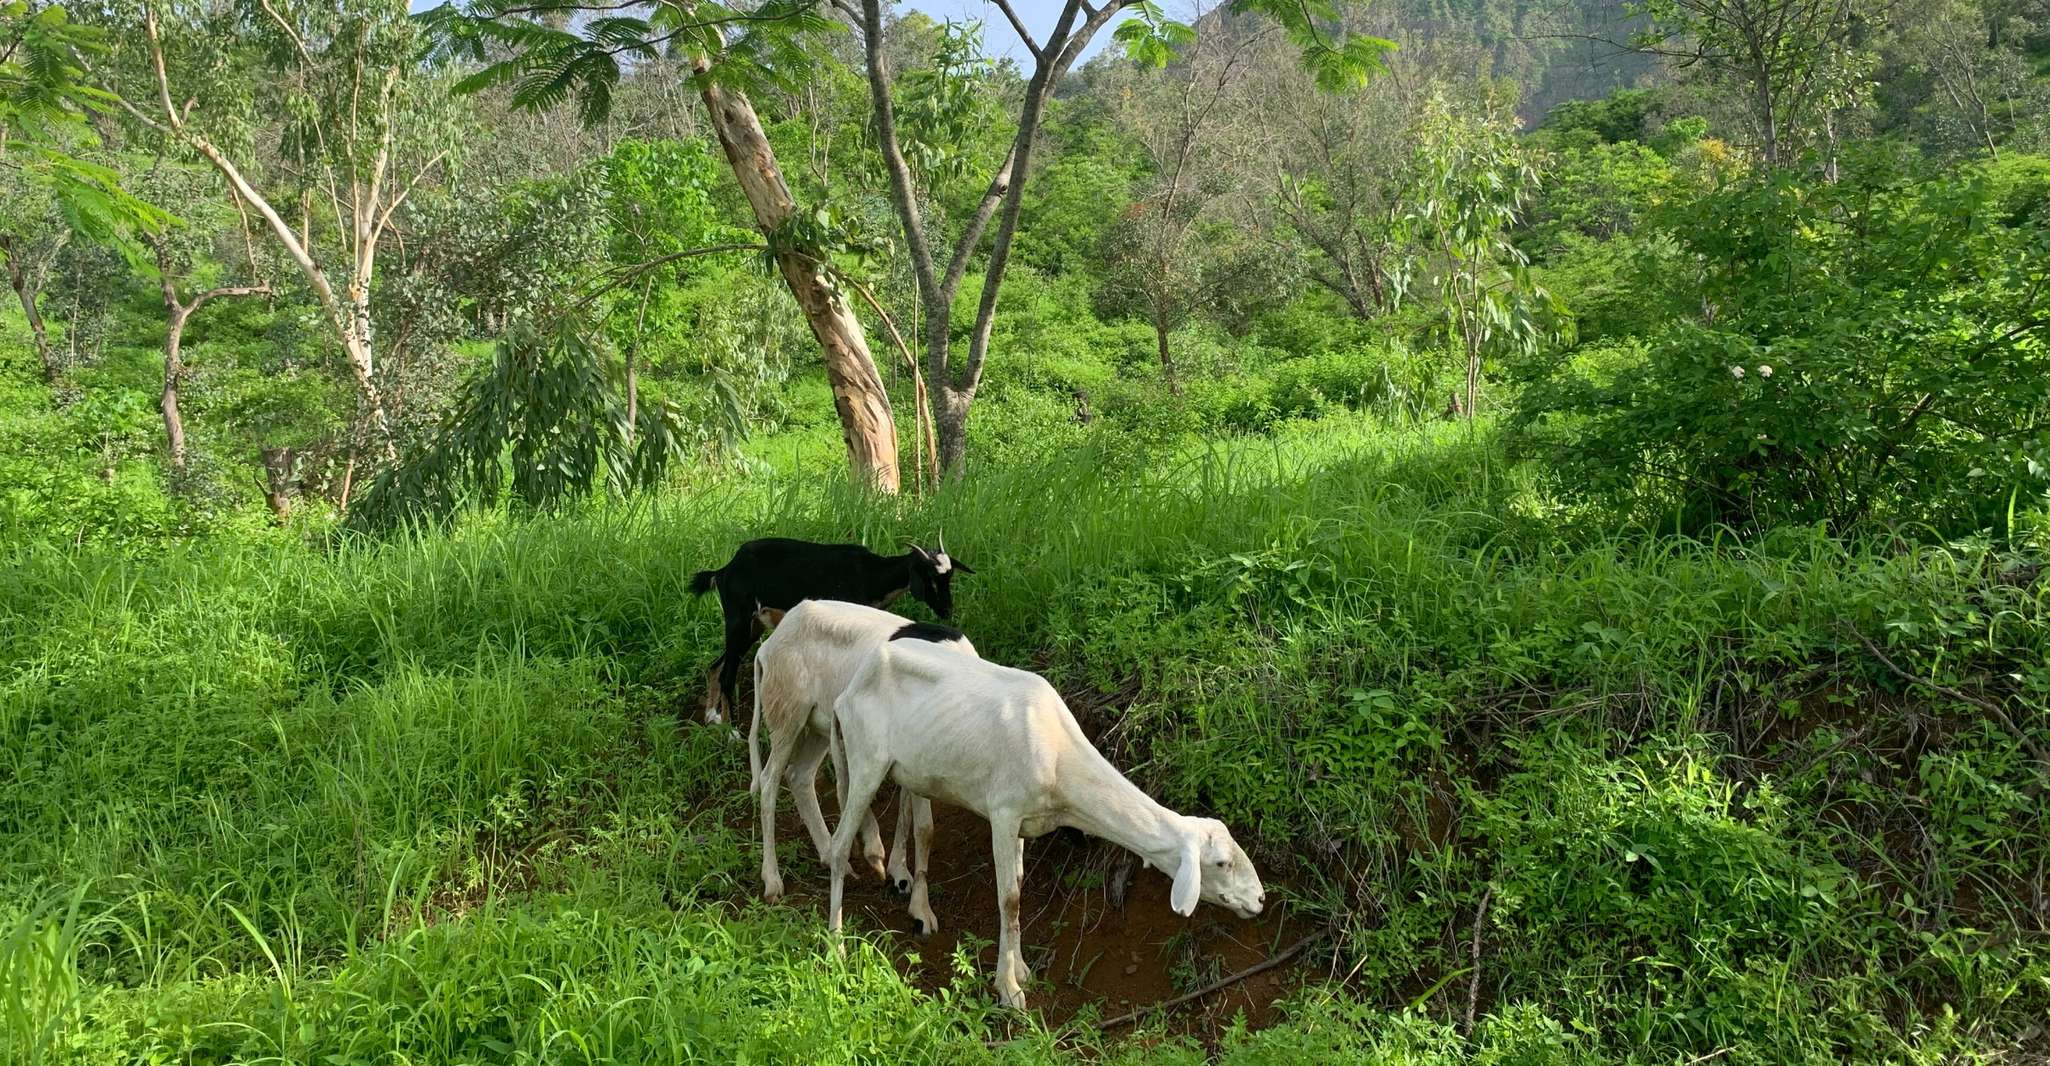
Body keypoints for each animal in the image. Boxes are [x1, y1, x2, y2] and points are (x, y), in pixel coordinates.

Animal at [688, 541, 975, 725]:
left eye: (949, 577)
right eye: (929, 578)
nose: (946, 610)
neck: (871, 574)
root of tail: (723, 571)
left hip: (752, 626)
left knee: (715, 665)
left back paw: (712, 717)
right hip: (739, 620)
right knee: (727, 673)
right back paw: (733, 733)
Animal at [754, 598, 975, 934]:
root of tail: (770, 643)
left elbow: (908, 816)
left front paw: (899, 875)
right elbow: (925, 828)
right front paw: (921, 912)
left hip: (818, 725)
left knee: (799, 776)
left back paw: (834, 859)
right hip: (787, 716)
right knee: (768, 783)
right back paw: (772, 881)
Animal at [820, 635, 1262, 1012]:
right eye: (1221, 863)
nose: (1259, 900)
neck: (1060, 759)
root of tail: (847, 691)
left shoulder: (1023, 822)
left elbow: (1018, 888)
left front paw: (1021, 970)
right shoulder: (1002, 812)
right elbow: (1008, 898)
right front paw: (1009, 990)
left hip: (906, 770)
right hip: (864, 760)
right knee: (839, 847)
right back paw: (836, 947)